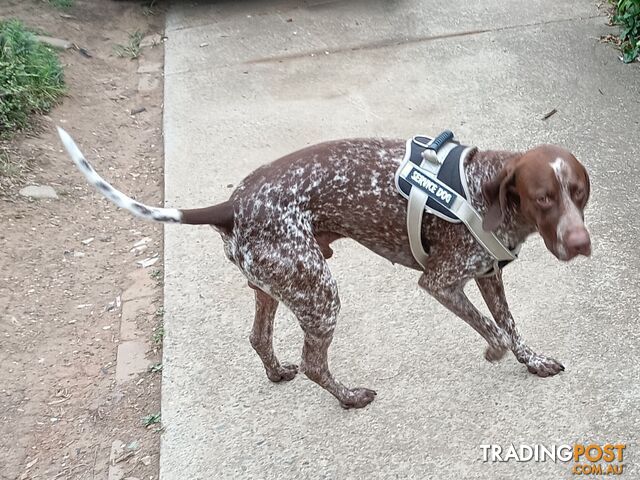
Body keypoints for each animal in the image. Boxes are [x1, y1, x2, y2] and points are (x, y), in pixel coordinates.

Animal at [57, 127, 592, 408]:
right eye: (544, 198)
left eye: (580, 193)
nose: (581, 243)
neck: (484, 189)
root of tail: (233, 204)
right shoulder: (440, 282)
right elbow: (494, 331)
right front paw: (494, 353)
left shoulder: (488, 274)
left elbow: (510, 326)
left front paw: (534, 361)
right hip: (320, 295)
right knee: (316, 364)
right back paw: (349, 396)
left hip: (278, 285)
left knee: (260, 338)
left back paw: (278, 373)